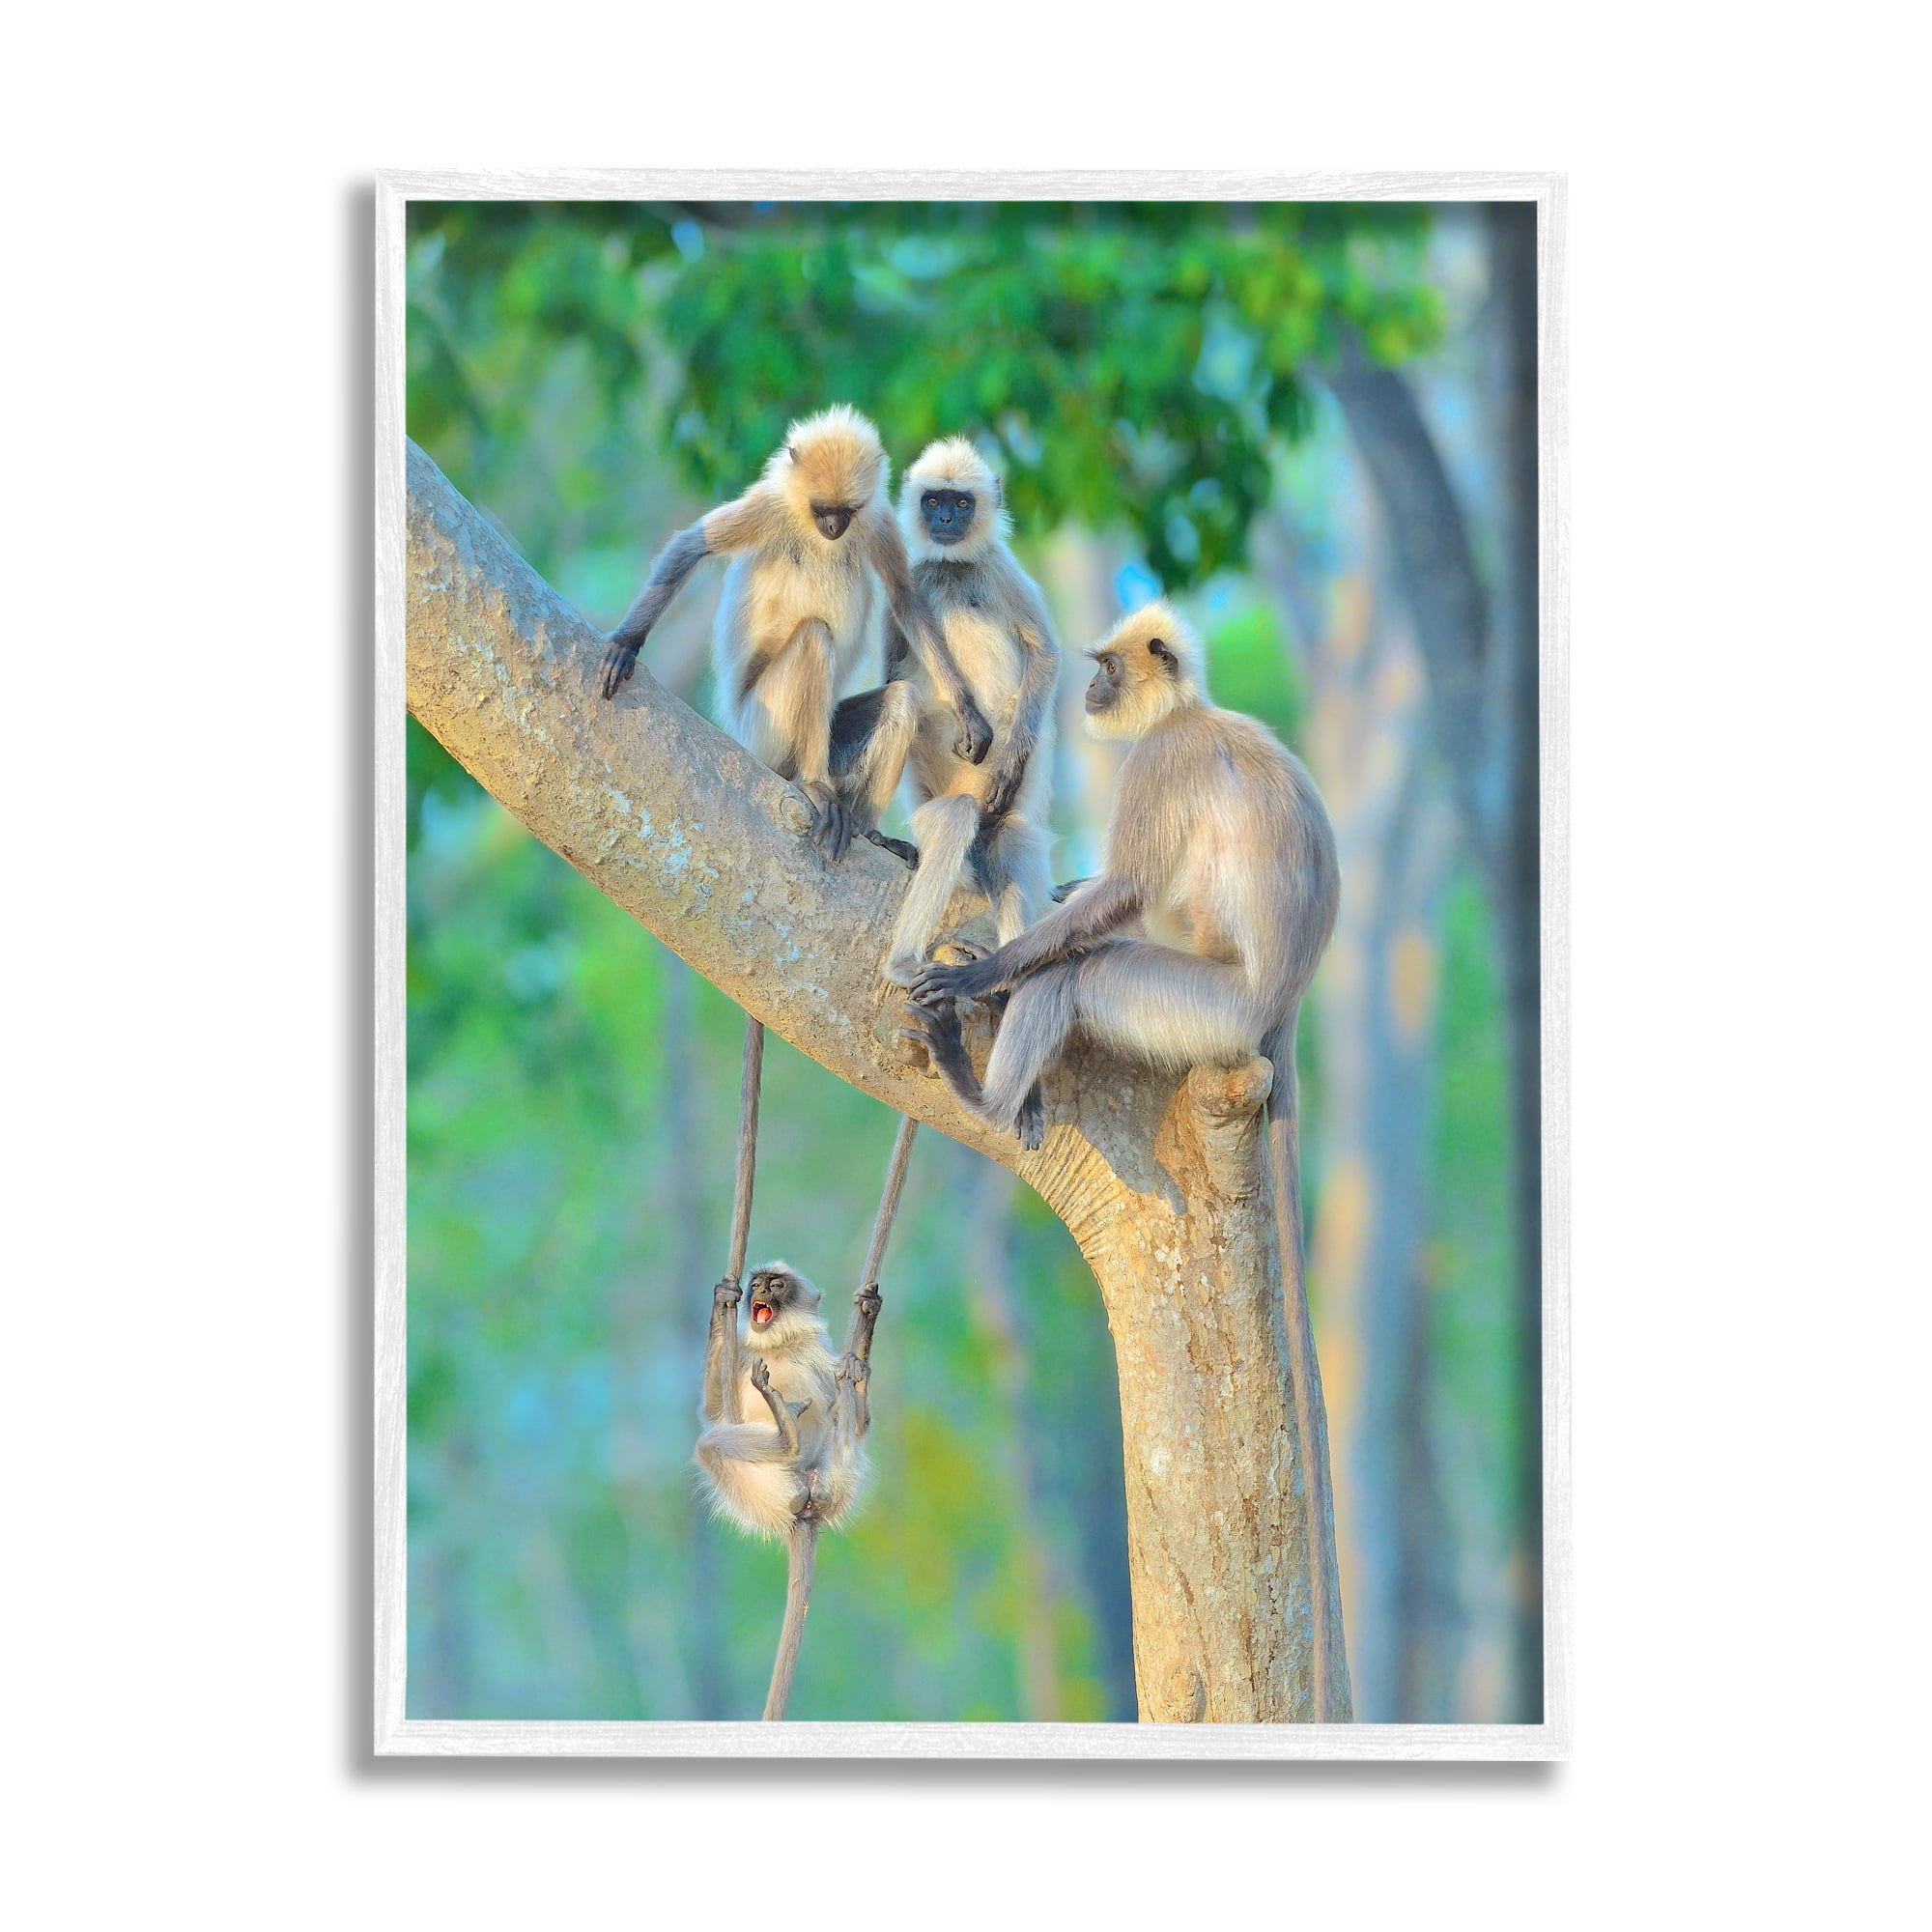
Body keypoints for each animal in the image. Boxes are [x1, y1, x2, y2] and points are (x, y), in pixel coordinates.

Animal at [597, 405, 993, 860]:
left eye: (847, 511)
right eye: (821, 510)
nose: (834, 527)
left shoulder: (876, 518)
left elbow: (906, 599)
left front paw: (967, 711)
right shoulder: (770, 505)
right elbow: (691, 547)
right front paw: (626, 643)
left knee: (902, 698)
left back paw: (868, 830)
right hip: (762, 728)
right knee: (815, 638)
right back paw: (814, 785)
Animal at [695, 1261, 882, 1721]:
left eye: (777, 1286)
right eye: (758, 1284)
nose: (759, 1291)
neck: (779, 1347)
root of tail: (805, 1507)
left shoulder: (820, 1354)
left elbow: (859, 1424)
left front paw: (866, 1323)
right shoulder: (746, 1360)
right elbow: (714, 1411)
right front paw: (722, 1298)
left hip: (835, 1477)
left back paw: (797, 1425)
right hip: (761, 1491)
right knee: (714, 1445)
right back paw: (786, 1433)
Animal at [878, 437, 1059, 984]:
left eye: (961, 503)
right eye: (934, 501)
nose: (944, 521)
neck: (953, 567)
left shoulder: (999, 566)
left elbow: (1045, 654)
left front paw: (1011, 759)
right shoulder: (912, 578)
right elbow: (893, 675)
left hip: (1001, 819)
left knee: (1011, 844)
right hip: (938, 814)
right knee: (955, 818)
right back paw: (902, 963)